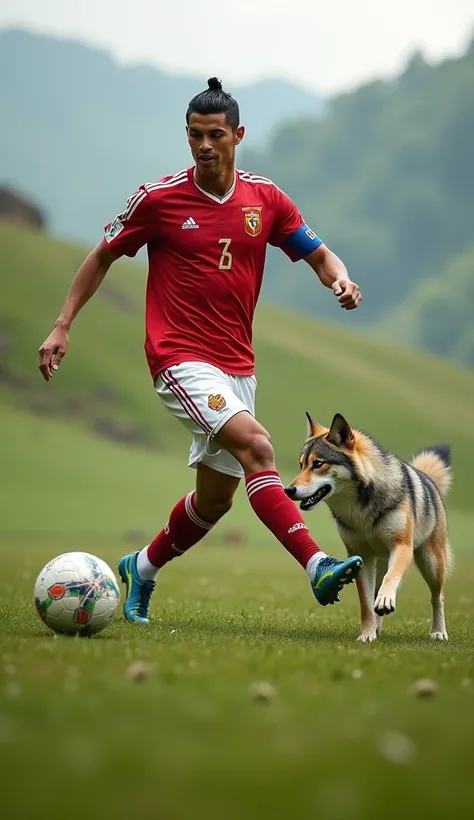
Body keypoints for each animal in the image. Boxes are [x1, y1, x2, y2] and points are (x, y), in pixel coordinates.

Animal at [284, 414, 454, 644]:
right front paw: (367, 635)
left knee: (438, 598)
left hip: (432, 564)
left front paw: (385, 601)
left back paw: (438, 632)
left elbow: (391, 579)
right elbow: (366, 603)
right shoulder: (360, 556)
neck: (360, 506)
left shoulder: (402, 546)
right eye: (301, 464)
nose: (288, 490)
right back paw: (377, 627)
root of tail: (427, 479)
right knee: (377, 595)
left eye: (318, 464)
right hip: (380, 563)